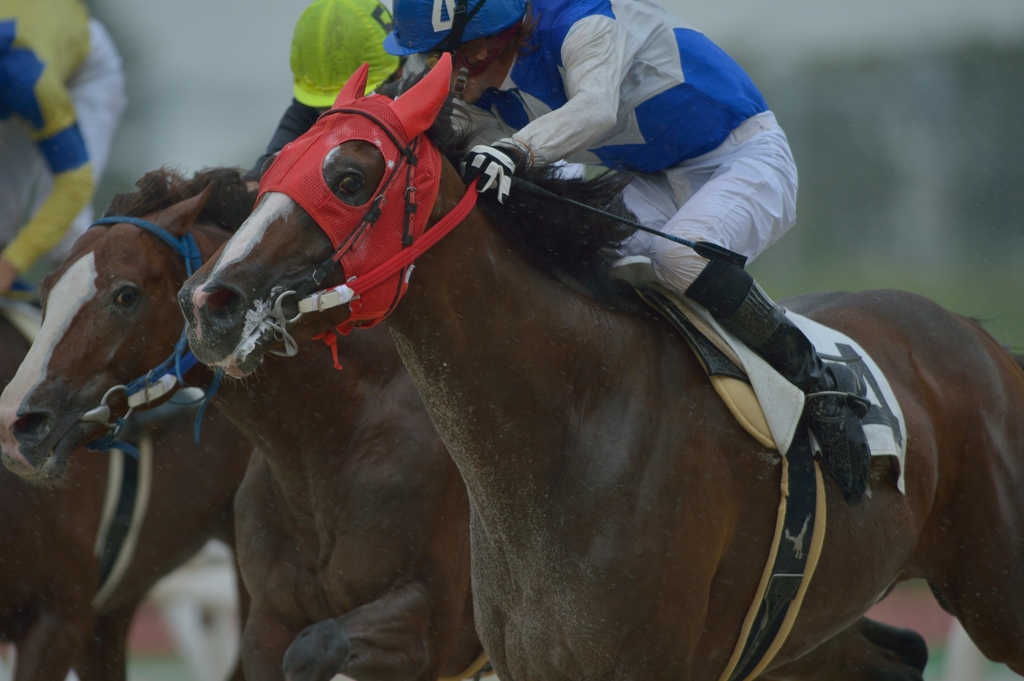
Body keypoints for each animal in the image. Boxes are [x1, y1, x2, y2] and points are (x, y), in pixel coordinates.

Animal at [177, 60, 1024, 681]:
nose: (209, 301)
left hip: (995, 587)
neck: (571, 424)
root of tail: (983, 340)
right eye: (272, 170)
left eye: (349, 177)